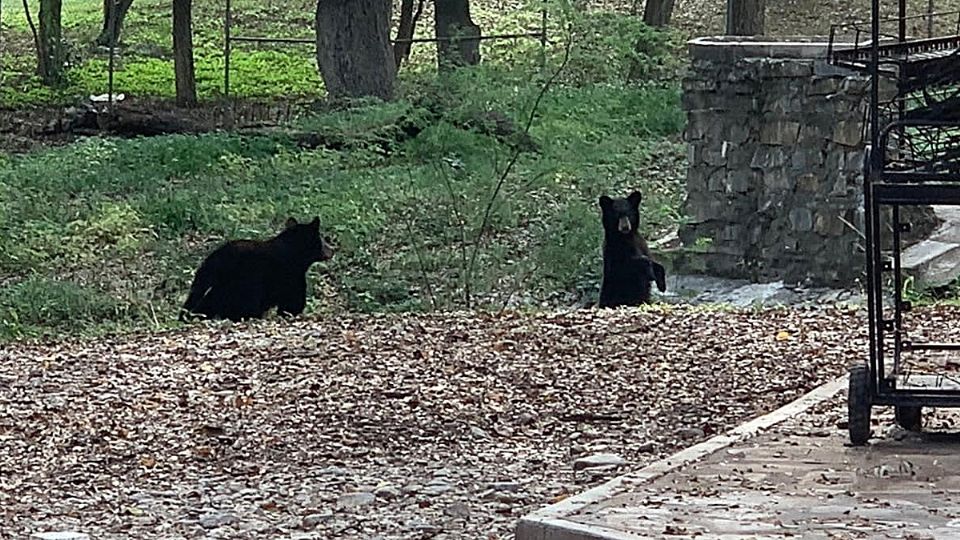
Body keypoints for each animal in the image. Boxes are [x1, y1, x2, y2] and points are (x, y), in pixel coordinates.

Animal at [179, 217, 334, 322]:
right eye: (322, 239)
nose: (332, 250)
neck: (294, 254)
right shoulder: (290, 275)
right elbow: (292, 300)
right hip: (241, 283)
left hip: (203, 282)